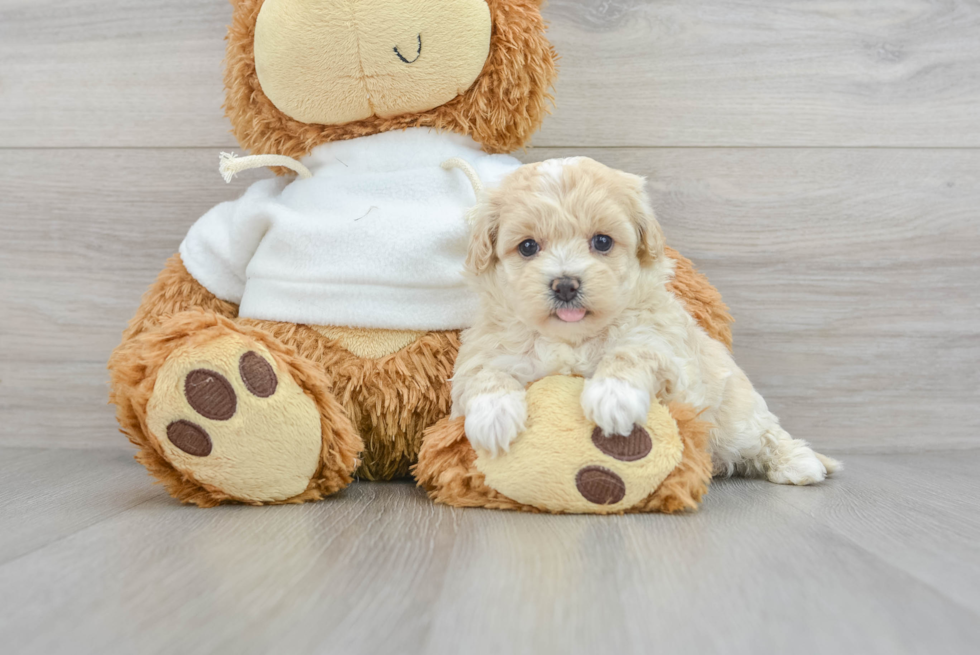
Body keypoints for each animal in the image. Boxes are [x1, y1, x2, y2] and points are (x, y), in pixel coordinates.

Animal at [452, 158, 844, 486]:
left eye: (602, 241)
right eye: (528, 246)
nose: (565, 285)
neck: (572, 339)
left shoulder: (669, 354)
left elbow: (632, 352)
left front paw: (613, 396)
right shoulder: (484, 350)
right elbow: (483, 373)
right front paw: (493, 416)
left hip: (737, 414)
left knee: (766, 434)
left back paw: (800, 463)